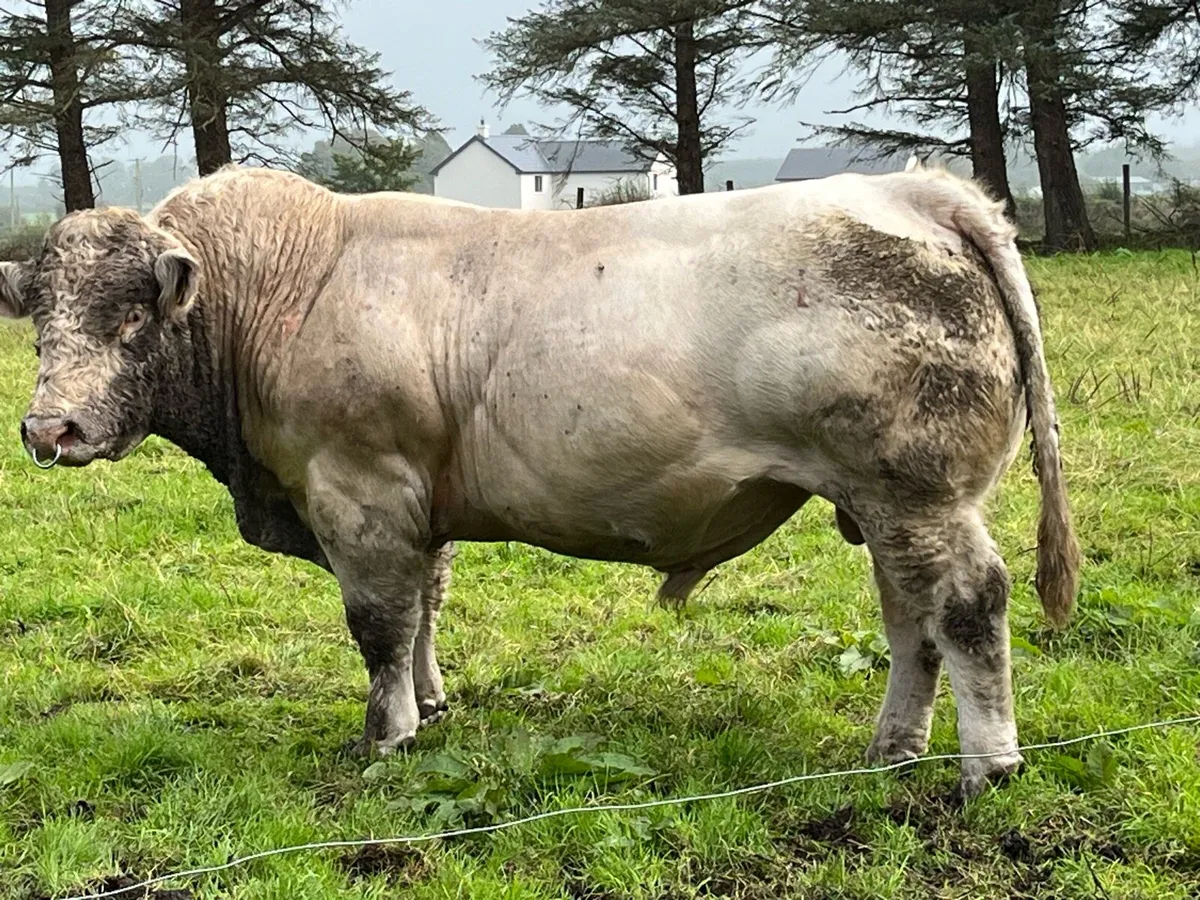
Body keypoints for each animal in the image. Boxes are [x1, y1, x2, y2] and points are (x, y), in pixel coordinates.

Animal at [0, 164, 1080, 797]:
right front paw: (431, 705)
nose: (49, 428)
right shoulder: (416, 502)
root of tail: (915, 188)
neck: (280, 291)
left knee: (969, 603)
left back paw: (989, 762)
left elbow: (379, 624)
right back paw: (893, 746)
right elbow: (425, 607)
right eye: (41, 319)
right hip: (883, 503)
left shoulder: (359, 492)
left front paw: (385, 734)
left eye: (131, 318)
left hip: (918, 490)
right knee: (912, 618)